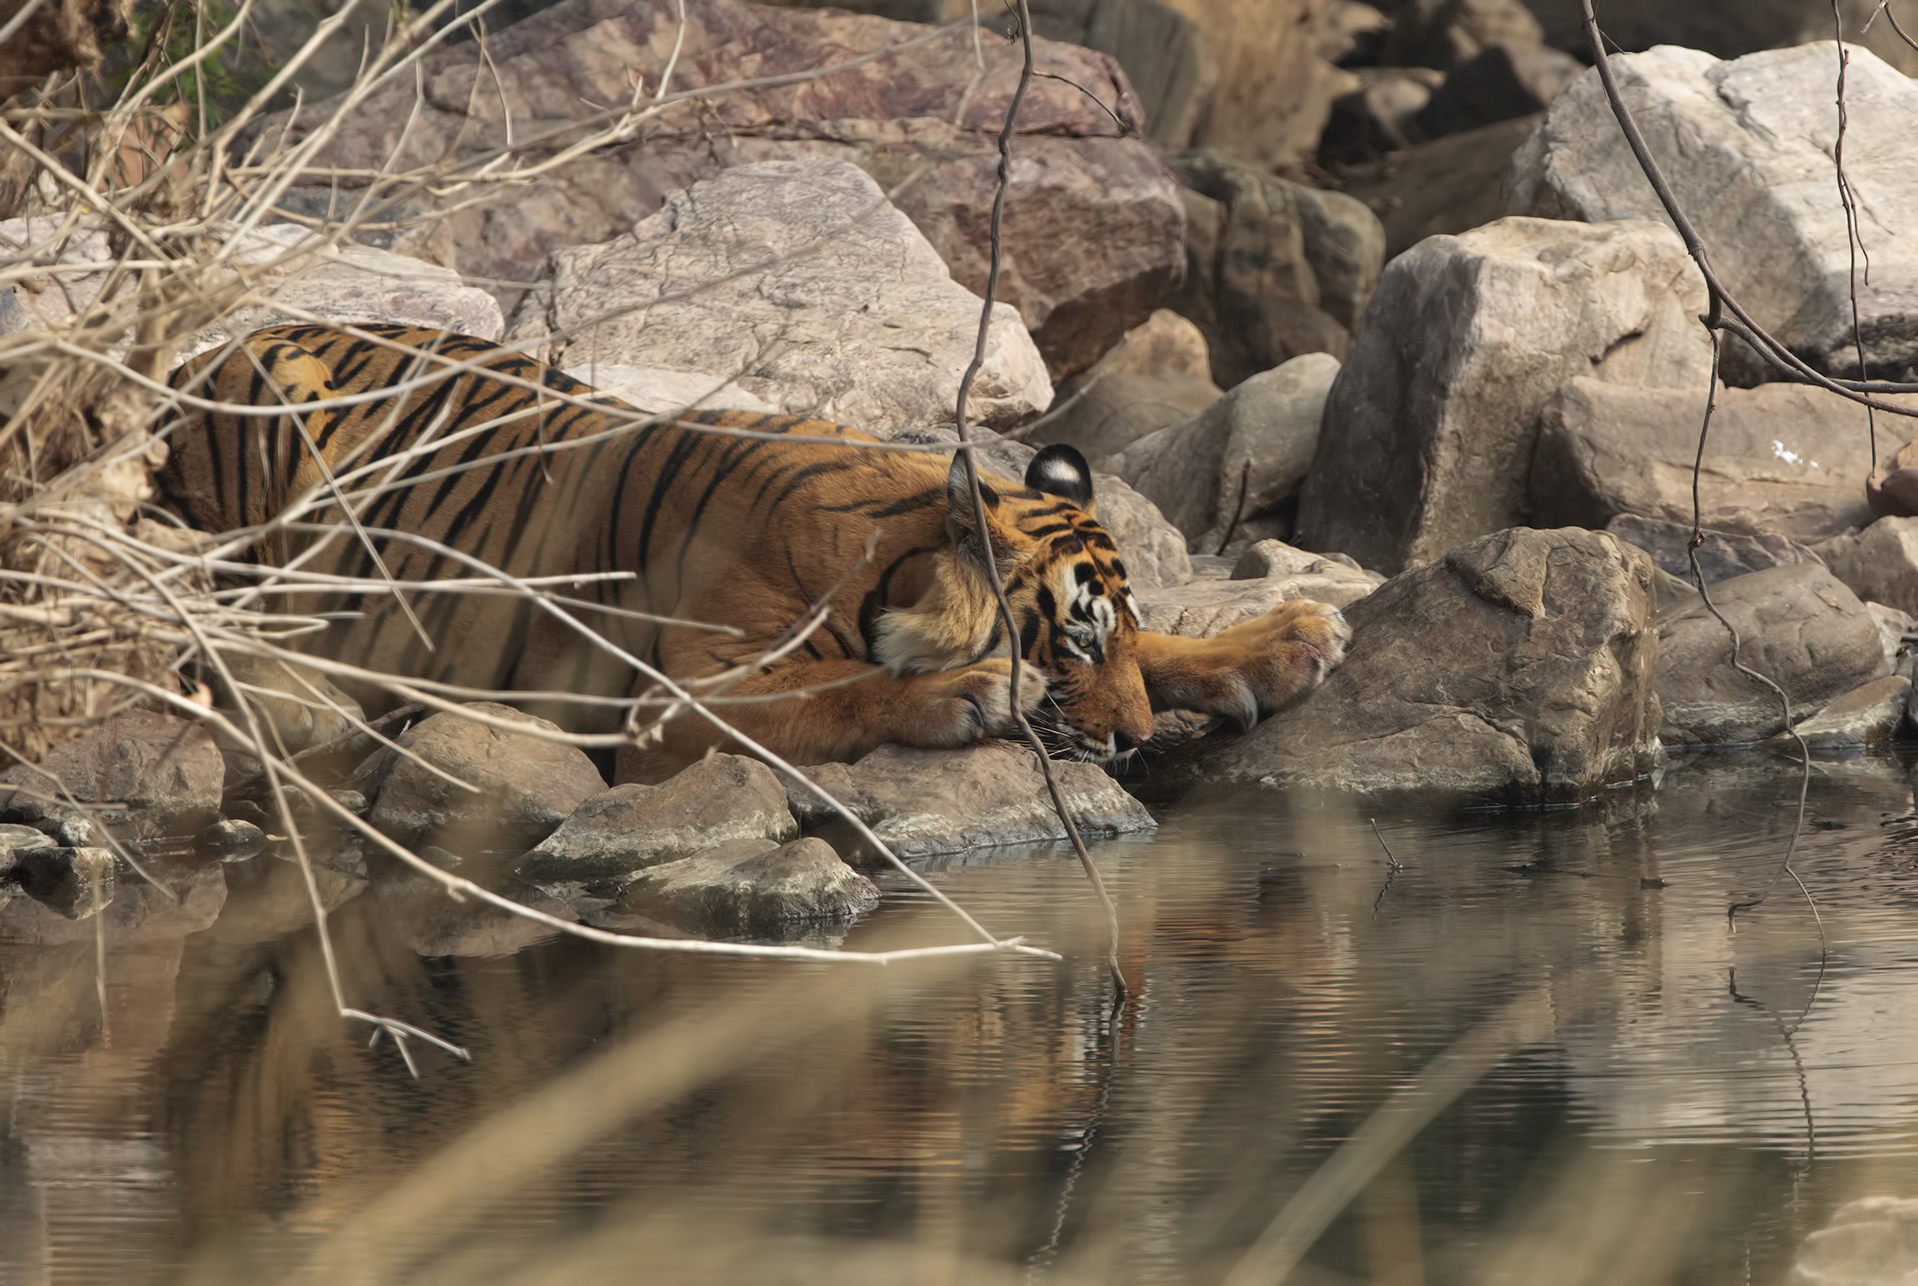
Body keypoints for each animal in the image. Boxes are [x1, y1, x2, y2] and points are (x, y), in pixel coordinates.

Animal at [157, 323, 1351, 784]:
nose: (1137, 746)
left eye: (1117, 633)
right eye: (1075, 642)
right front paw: (970, 693)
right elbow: (833, 692)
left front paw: (1289, 638)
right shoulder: (670, 696)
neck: (891, 554)